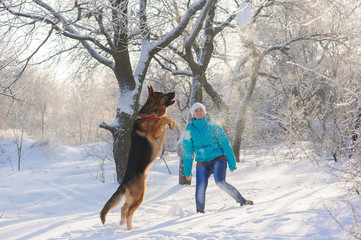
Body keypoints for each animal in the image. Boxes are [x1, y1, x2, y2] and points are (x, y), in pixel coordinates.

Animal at [100, 85, 175, 230]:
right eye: (163, 94)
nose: (174, 92)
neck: (150, 114)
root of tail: (124, 182)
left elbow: (168, 116)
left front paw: (173, 124)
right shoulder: (155, 131)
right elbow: (164, 118)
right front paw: (169, 122)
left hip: (133, 198)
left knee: (123, 209)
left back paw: (123, 224)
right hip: (139, 196)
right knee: (128, 212)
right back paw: (130, 229)